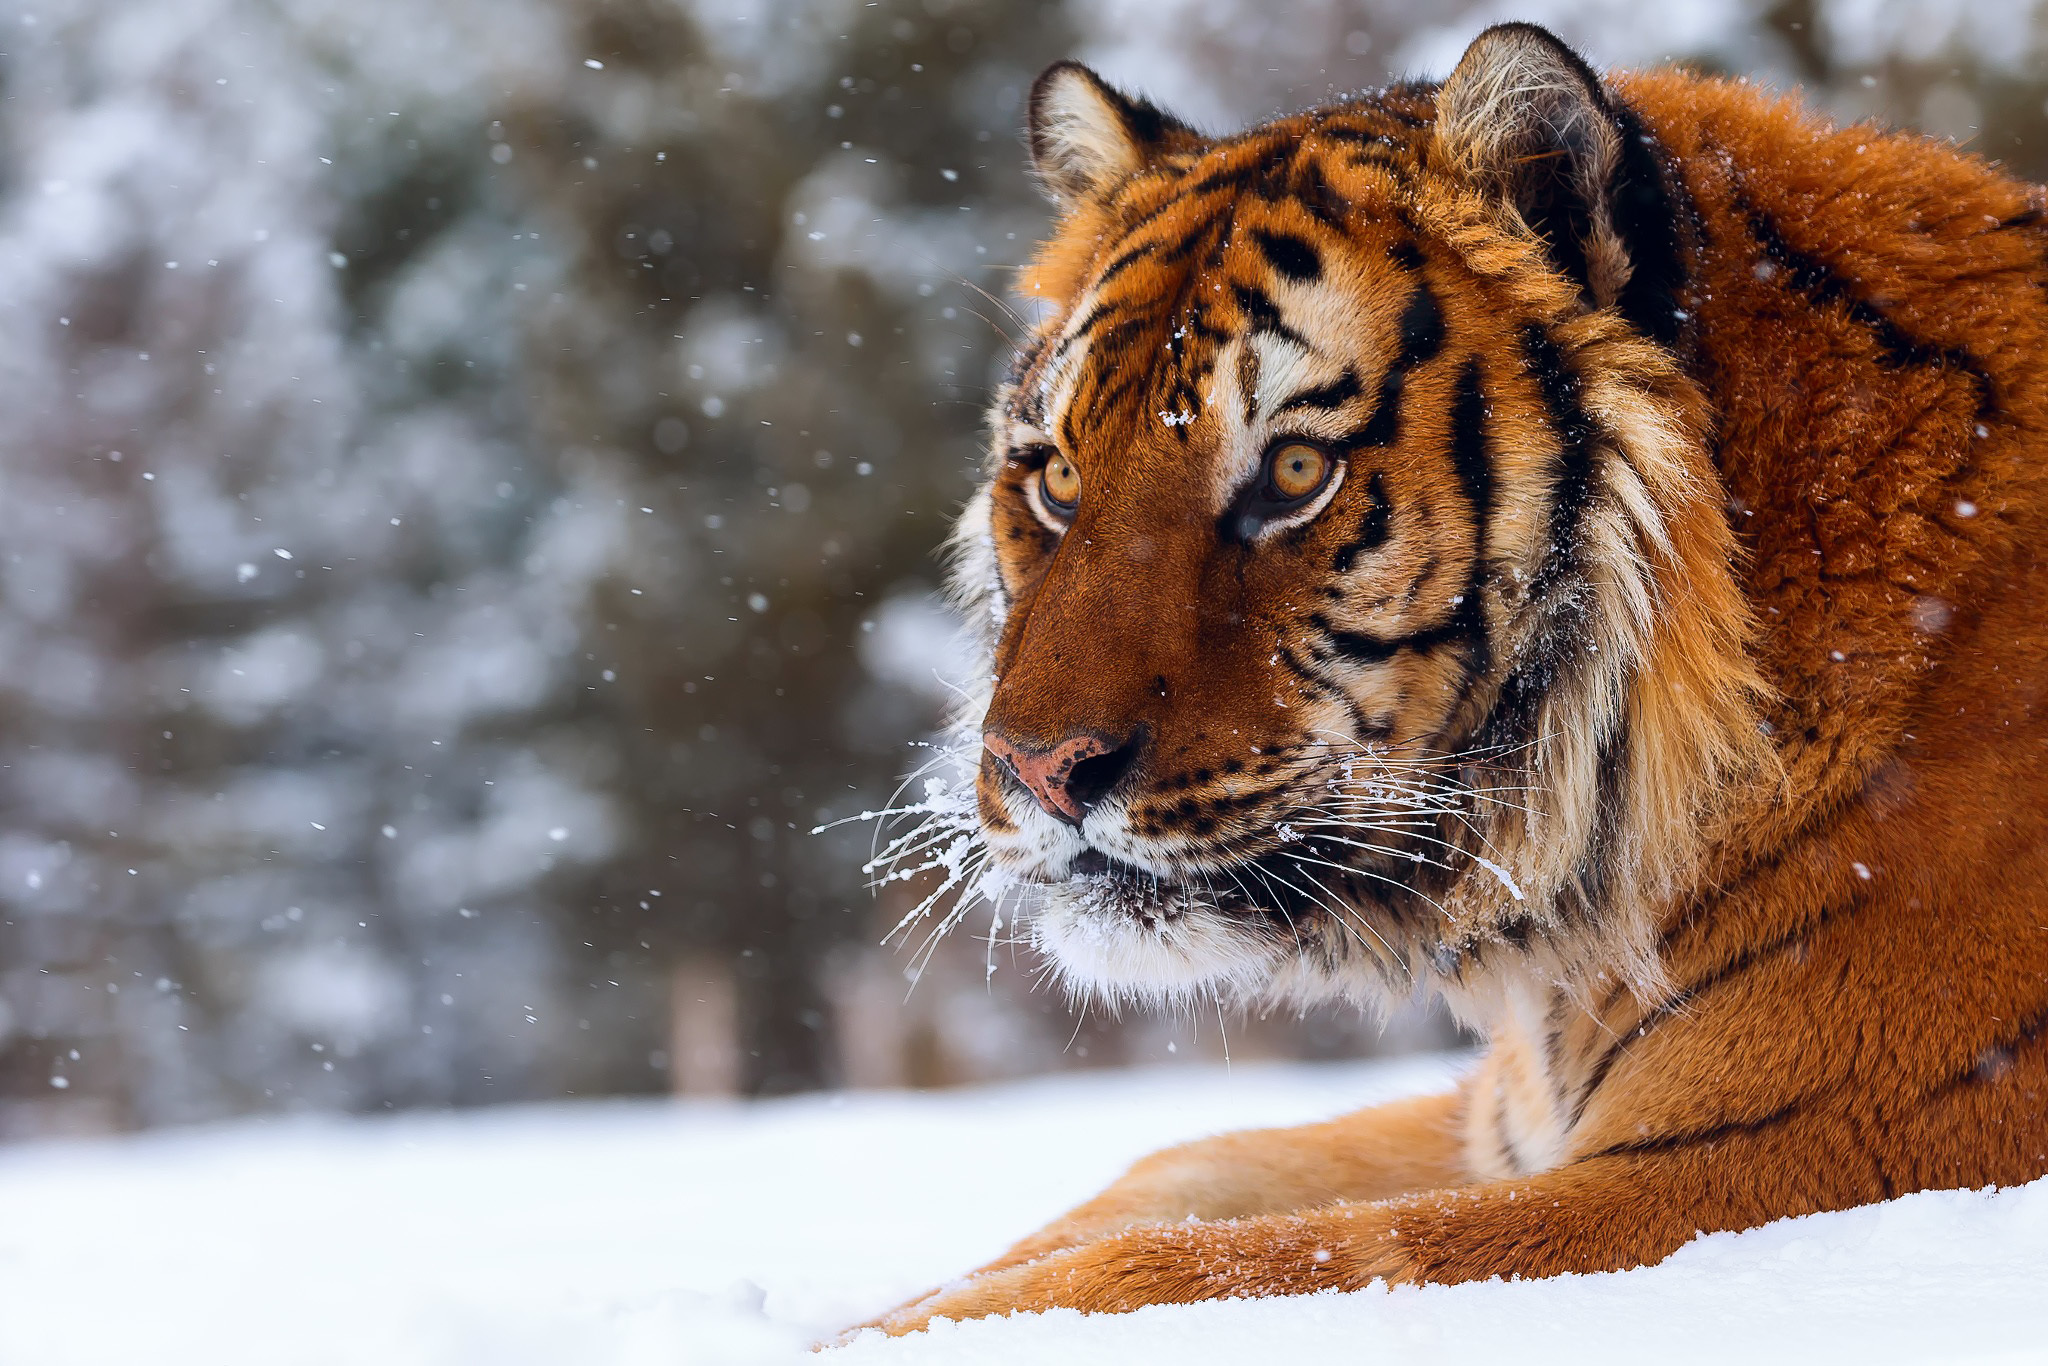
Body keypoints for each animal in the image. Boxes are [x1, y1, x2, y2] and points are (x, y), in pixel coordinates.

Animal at [856, 18, 2048, 1335]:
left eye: (1293, 471)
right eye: (1058, 478)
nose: (1037, 769)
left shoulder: (1762, 1161)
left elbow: (1196, 1262)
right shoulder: (1500, 1122)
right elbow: (1173, 1174)